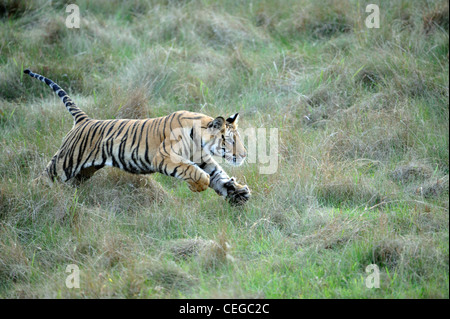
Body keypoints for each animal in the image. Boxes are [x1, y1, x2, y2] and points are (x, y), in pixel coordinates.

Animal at [23, 69, 250, 206]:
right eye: (230, 140)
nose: (245, 155)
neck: (200, 139)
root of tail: (84, 120)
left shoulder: (203, 159)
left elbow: (218, 175)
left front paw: (237, 191)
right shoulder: (165, 157)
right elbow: (198, 174)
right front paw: (197, 187)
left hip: (83, 173)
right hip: (64, 164)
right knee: (40, 180)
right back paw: (32, 197)